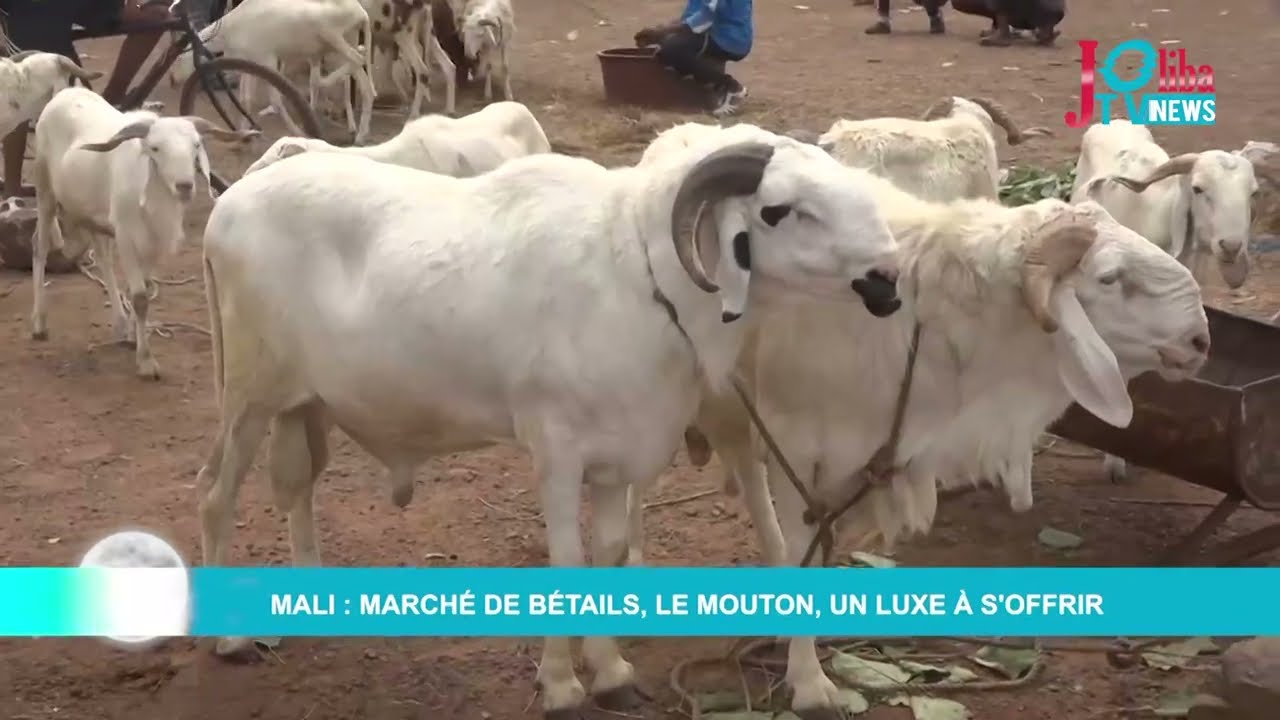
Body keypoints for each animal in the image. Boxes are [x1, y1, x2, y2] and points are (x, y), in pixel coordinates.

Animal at [29, 87, 255, 379]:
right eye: (155, 148)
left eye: (196, 145)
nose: (184, 186)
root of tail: (64, 93)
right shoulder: (126, 236)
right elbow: (138, 298)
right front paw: (146, 362)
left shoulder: (153, 243)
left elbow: (144, 291)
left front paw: (136, 339)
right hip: (44, 188)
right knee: (40, 246)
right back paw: (39, 323)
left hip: (92, 211)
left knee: (102, 257)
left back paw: (121, 326)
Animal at [169, 0, 377, 145]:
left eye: (178, 59)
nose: (172, 80)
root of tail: (362, 13)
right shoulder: (250, 62)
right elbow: (246, 99)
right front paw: (244, 134)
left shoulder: (267, 59)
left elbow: (276, 101)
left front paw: (298, 134)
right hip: (343, 40)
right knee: (361, 77)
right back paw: (360, 133)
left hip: (328, 32)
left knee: (356, 60)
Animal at [193, 124, 905, 717]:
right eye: (779, 210)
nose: (888, 278)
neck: (639, 277)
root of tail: (225, 209)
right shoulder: (557, 452)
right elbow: (566, 557)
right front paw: (562, 684)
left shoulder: (617, 457)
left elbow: (609, 552)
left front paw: (612, 673)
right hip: (247, 396)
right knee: (215, 497)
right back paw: (230, 639)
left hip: (301, 406)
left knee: (295, 489)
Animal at [633, 123, 1210, 718]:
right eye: (1110, 278)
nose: (1200, 341)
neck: (922, 313)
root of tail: (687, 132)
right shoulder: (795, 445)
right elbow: (800, 551)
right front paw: (810, 681)